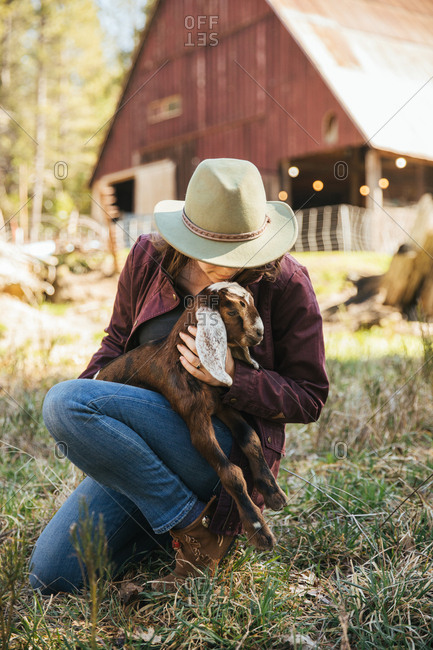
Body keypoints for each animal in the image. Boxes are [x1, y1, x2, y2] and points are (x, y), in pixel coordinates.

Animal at [96, 281, 288, 550]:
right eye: (232, 312)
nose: (259, 333)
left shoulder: (222, 404)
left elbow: (250, 438)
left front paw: (273, 493)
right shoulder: (197, 421)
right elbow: (231, 473)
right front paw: (259, 530)